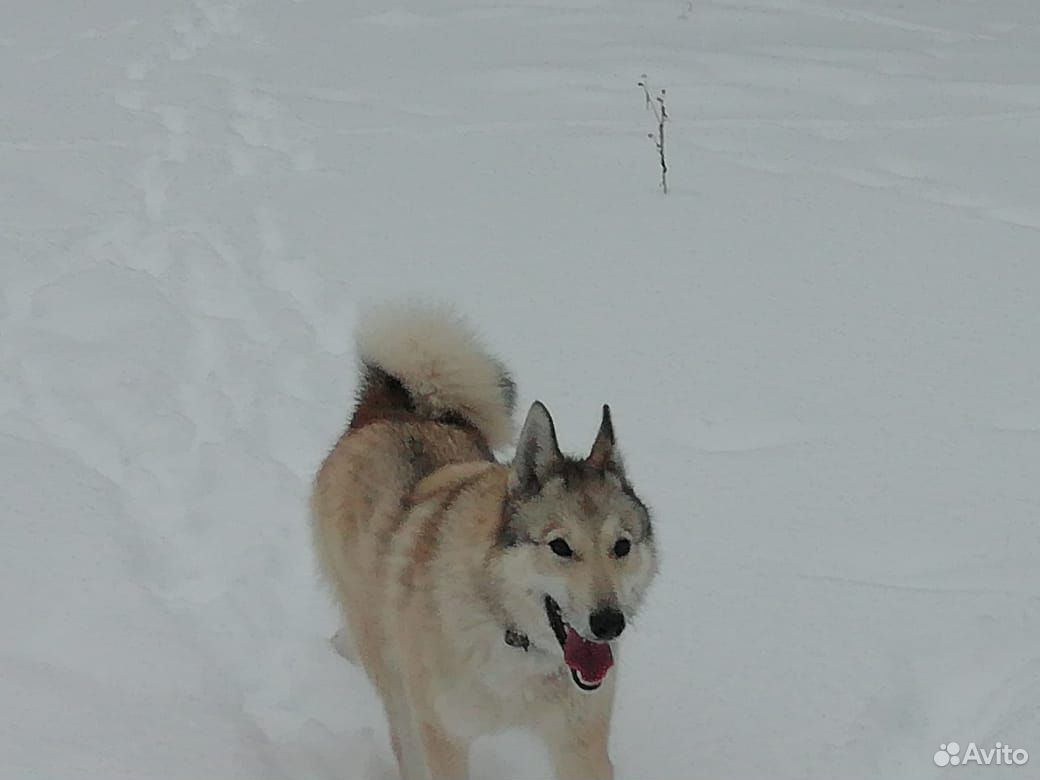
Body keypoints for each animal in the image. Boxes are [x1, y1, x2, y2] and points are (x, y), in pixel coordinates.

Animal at [307, 307, 661, 780]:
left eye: (621, 547)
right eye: (560, 547)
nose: (609, 624)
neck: (512, 635)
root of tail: (393, 408)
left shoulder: (579, 743)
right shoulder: (444, 734)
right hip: (397, 679)